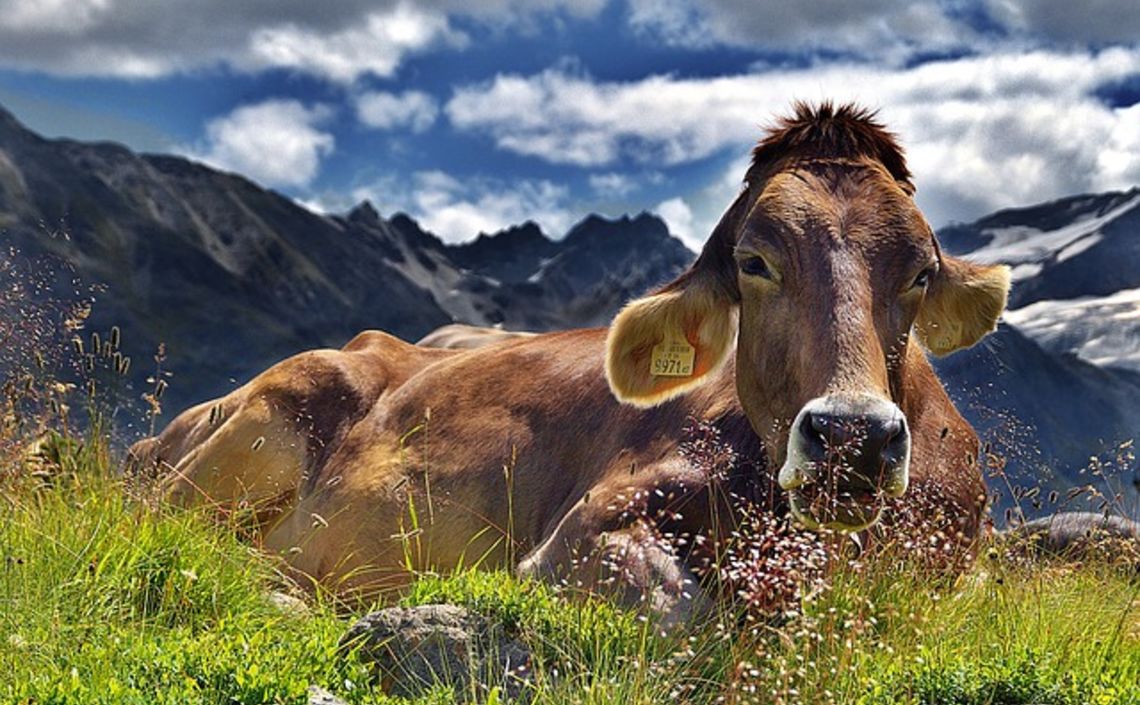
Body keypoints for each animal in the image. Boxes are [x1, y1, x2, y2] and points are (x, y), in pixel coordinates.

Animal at [127, 103, 1010, 621]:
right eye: (755, 261)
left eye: (920, 270)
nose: (852, 437)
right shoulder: (579, 532)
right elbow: (682, 613)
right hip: (270, 415)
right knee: (179, 531)